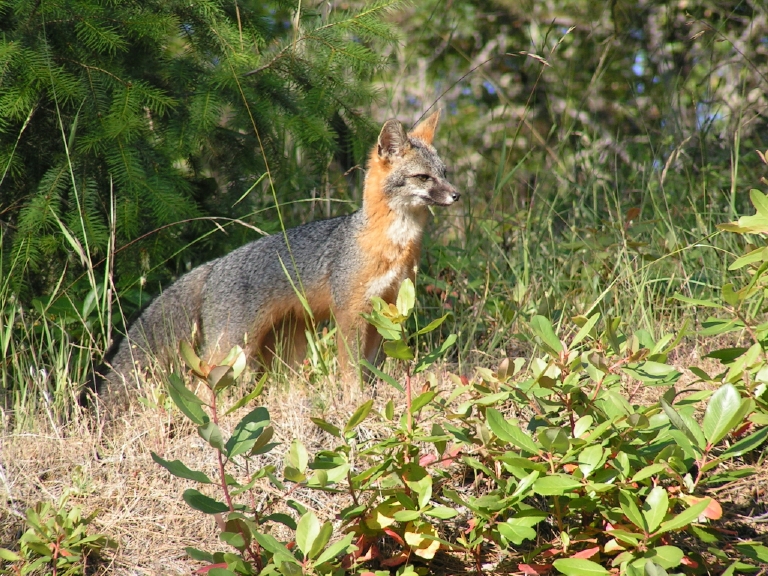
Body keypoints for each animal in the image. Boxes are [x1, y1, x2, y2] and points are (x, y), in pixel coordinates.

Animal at [93, 108, 460, 396]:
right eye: (423, 177)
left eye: (444, 174)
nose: (457, 195)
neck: (394, 244)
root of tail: (214, 265)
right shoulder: (351, 312)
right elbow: (350, 370)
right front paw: (354, 400)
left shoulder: (388, 309)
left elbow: (370, 369)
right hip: (231, 349)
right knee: (200, 386)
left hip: (282, 352)